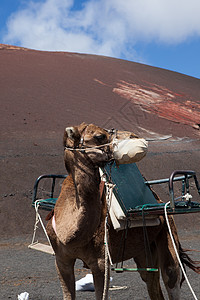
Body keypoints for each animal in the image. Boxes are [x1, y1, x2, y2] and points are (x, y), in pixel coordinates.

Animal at [46, 123, 199, 298]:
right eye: (99, 136)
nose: (135, 136)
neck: (69, 233)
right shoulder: (61, 260)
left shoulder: (101, 262)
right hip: (145, 250)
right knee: (151, 281)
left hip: (167, 228)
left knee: (170, 274)